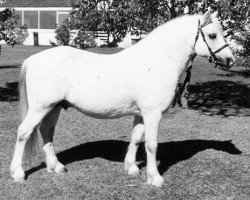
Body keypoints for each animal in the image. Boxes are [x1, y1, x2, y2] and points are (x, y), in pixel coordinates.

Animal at [10, 10, 234, 187]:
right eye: (212, 35)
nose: (230, 60)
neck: (156, 62)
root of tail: (33, 59)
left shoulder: (141, 114)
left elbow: (135, 139)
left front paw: (132, 168)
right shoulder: (153, 114)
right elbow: (151, 144)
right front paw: (155, 178)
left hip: (54, 107)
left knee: (46, 133)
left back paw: (56, 167)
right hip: (40, 108)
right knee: (23, 133)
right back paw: (18, 173)